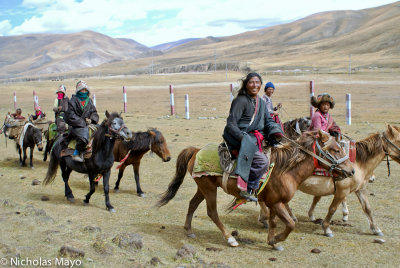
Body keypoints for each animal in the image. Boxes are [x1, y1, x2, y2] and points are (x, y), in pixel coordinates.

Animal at [156, 131, 354, 250]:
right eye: (335, 149)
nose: (352, 171)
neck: (286, 170)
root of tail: (196, 150)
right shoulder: (277, 203)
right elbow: (290, 224)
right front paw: (277, 240)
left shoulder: (273, 202)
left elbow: (273, 222)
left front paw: (272, 242)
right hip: (209, 189)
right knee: (212, 212)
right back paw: (230, 238)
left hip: (204, 187)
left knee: (192, 204)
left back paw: (189, 230)